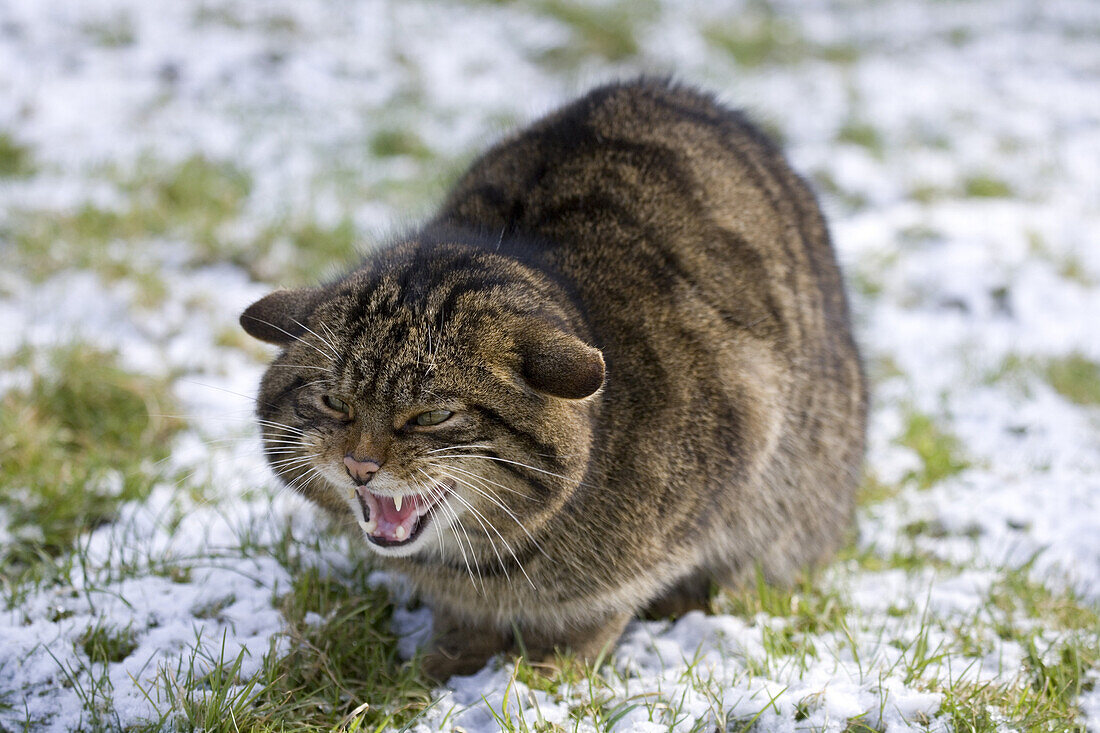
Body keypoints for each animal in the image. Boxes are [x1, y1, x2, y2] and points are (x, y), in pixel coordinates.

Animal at [240, 77, 866, 677]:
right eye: (333, 402)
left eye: (433, 415)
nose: (359, 466)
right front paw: (442, 665)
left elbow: (598, 612)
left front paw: (545, 674)